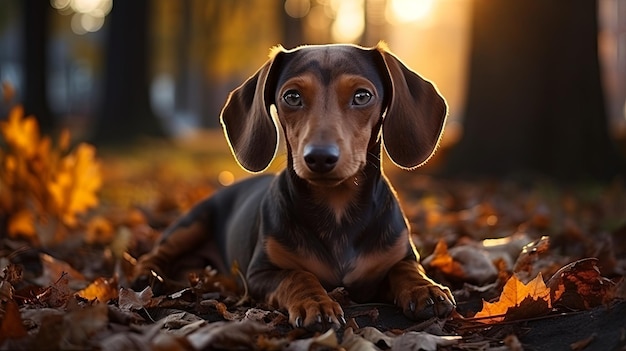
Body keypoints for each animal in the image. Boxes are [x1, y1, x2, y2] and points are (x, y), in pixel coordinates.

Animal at [133, 42, 454, 328]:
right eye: (292, 96)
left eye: (362, 96)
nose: (320, 157)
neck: (337, 208)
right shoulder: (258, 274)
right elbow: (297, 275)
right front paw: (316, 303)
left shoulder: (397, 258)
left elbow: (405, 267)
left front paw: (425, 288)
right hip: (192, 222)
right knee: (157, 252)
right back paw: (147, 274)